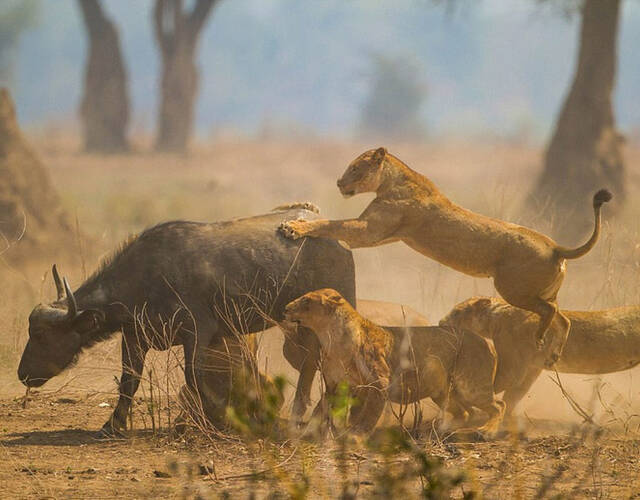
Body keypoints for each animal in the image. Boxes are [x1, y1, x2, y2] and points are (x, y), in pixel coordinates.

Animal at [278, 146, 608, 366]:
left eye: (356, 168)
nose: (338, 183)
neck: (394, 178)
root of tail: (556, 246)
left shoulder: (367, 231)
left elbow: (331, 223)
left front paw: (294, 227)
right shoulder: (383, 233)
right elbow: (333, 222)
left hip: (512, 288)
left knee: (550, 312)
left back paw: (540, 338)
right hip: (541, 291)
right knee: (563, 318)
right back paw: (553, 353)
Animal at [284, 288, 504, 436]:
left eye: (305, 300)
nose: (285, 308)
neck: (329, 336)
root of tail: (487, 341)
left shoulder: (379, 382)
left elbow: (368, 414)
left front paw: (356, 434)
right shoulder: (335, 385)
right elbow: (321, 408)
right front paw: (307, 431)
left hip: (471, 386)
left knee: (498, 406)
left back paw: (487, 430)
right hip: (443, 391)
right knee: (466, 412)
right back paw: (438, 428)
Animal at [440, 296, 640, 414]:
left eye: (457, 312)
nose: (440, 322)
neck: (496, 317)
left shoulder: (512, 368)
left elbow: (488, 388)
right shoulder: (532, 368)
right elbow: (512, 398)